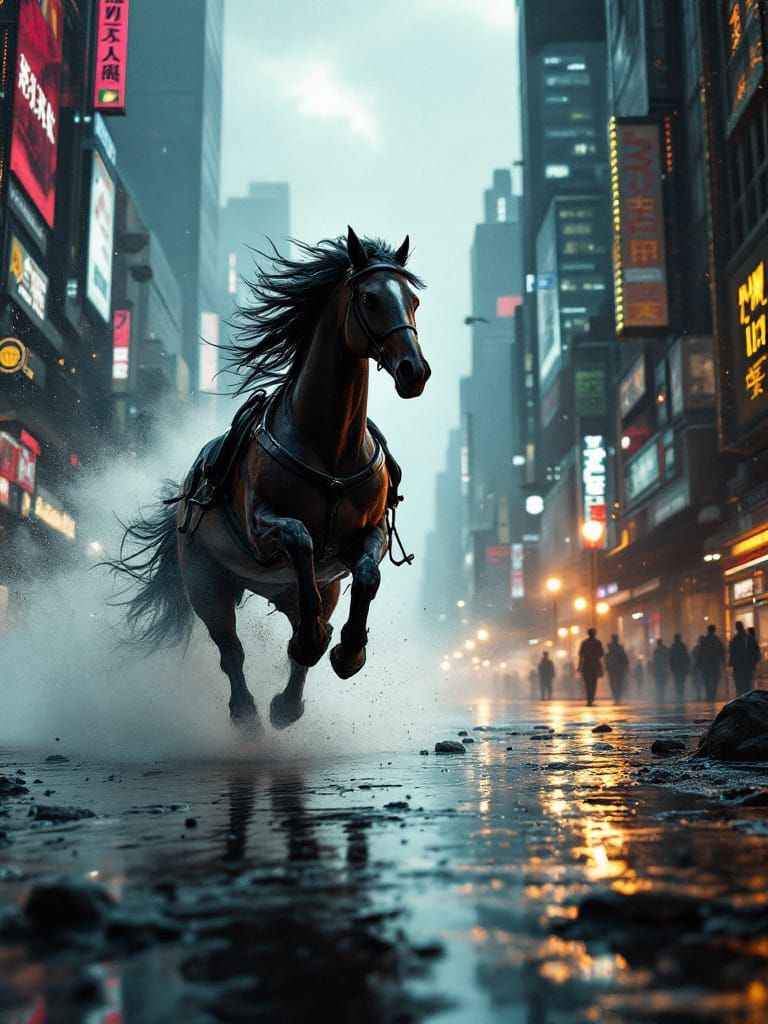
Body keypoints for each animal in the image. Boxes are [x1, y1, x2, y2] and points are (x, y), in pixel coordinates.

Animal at [109, 227, 429, 734]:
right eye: (370, 298)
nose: (413, 371)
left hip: (314, 588)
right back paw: (249, 713)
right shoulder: (262, 529)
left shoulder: (368, 535)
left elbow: (367, 574)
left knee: (303, 631)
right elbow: (299, 537)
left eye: (413, 300)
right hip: (207, 583)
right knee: (231, 652)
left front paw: (350, 652)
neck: (330, 447)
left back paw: (288, 703)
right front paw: (319, 642)